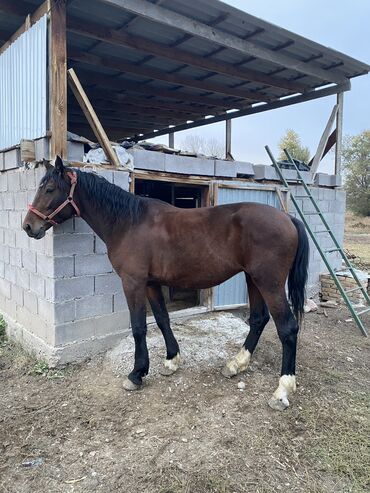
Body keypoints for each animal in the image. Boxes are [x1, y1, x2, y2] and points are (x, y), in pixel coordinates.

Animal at [23, 157, 310, 408]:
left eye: (49, 189)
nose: (28, 226)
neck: (129, 222)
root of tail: (288, 218)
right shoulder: (151, 284)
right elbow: (162, 319)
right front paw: (172, 360)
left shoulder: (133, 283)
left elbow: (139, 327)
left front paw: (136, 374)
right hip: (253, 279)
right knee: (259, 319)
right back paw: (236, 364)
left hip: (269, 283)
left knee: (287, 328)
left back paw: (282, 390)